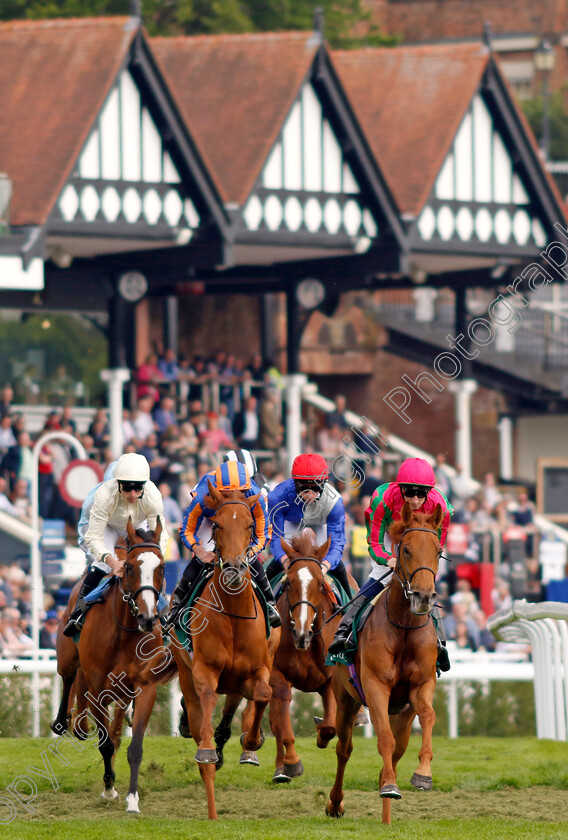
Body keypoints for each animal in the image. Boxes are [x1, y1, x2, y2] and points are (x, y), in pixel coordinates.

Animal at [51, 520, 168, 812]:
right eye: (129, 567)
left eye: (161, 566)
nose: (147, 618)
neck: (125, 632)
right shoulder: (97, 688)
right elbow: (104, 744)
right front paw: (109, 788)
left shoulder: (145, 687)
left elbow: (133, 746)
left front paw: (132, 799)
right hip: (66, 655)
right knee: (68, 678)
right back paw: (64, 722)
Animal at [172, 482, 280, 816]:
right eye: (217, 525)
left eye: (249, 526)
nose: (234, 568)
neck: (232, 614)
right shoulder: (204, 669)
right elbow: (206, 699)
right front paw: (208, 751)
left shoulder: (259, 669)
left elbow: (264, 694)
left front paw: (253, 741)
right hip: (185, 668)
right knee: (193, 707)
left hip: (237, 681)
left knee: (233, 708)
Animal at [268, 536, 358, 784]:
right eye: (289, 582)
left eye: (320, 583)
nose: (302, 632)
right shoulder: (278, 676)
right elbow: (281, 724)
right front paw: (291, 763)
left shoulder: (330, 680)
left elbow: (329, 726)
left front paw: (321, 735)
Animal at [326, 502, 442, 824]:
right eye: (406, 549)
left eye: (438, 550)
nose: (423, 596)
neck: (403, 626)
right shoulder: (375, 686)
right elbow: (384, 741)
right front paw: (390, 786)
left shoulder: (422, 685)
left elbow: (428, 717)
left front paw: (422, 774)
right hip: (346, 699)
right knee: (344, 749)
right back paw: (336, 803)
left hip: (402, 713)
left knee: (399, 746)